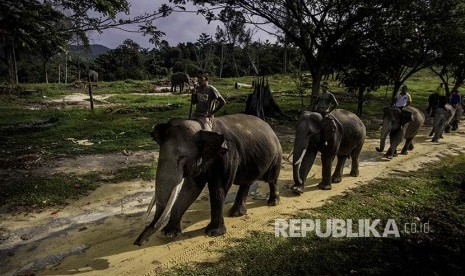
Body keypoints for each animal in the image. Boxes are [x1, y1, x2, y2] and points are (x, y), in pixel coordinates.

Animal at [132, 114, 280, 246]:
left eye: (182, 157)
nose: (138, 242)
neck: (203, 127)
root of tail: (269, 126)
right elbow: (191, 189)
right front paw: (169, 233)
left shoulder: (227, 156)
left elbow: (218, 188)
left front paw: (213, 233)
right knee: (246, 182)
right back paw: (236, 213)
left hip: (276, 154)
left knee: (271, 179)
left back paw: (273, 202)